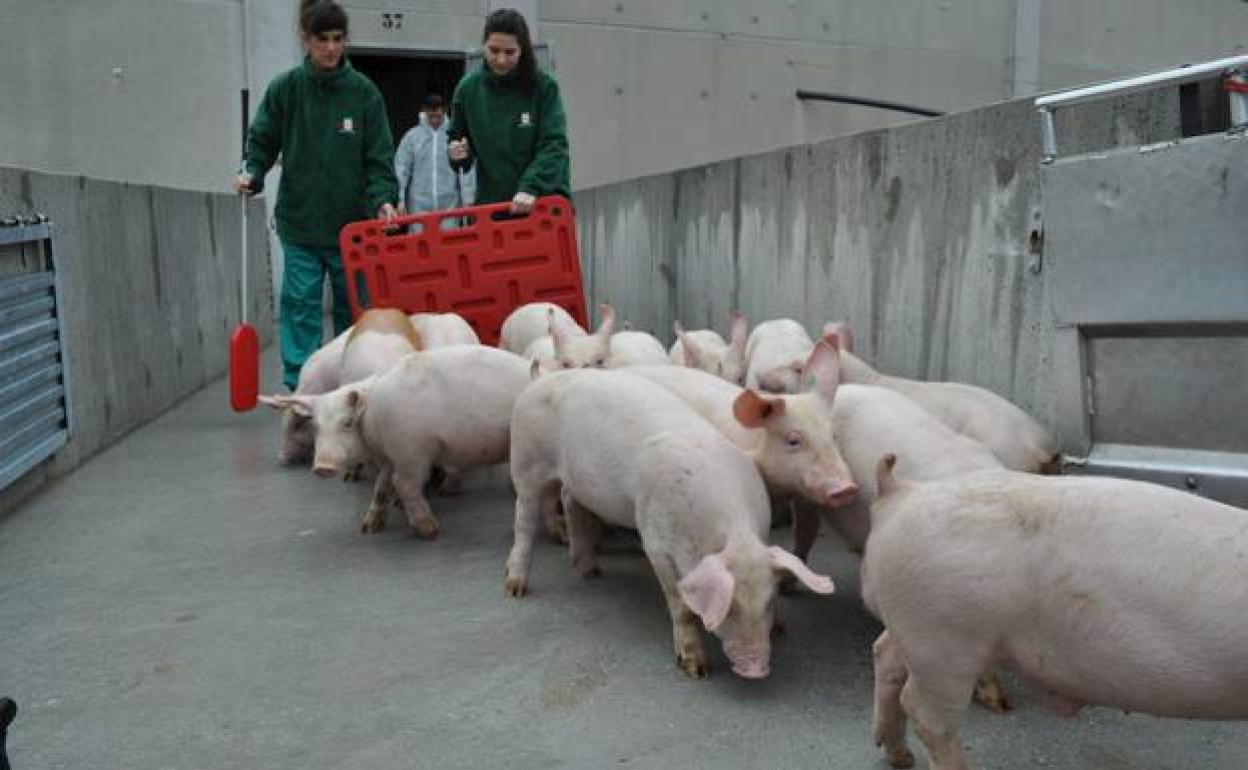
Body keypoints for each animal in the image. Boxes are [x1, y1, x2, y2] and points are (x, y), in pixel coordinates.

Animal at [258, 346, 531, 534]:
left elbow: (393, 485)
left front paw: (422, 530)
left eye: (346, 423)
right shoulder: (396, 455)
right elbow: (387, 485)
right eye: (315, 426)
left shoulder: (402, 454)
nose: (321, 467)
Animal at [501, 371, 833, 678]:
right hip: (525, 462)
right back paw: (515, 588)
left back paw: (591, 572)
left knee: (569, 499)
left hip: (578, 481)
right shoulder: (656, 543)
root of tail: (540, 378)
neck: (733, 532)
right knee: (523, 519)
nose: (756, 669)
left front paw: (781, 629)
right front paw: (697, 669)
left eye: (770, 600)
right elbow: (680, 605)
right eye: (729, 607)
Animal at [863, 456, 1248, 768]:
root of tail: (901, 493)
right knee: (925, 711)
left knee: (885, 655)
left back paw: (899, 757)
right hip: (944, 636)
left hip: (914, 623)